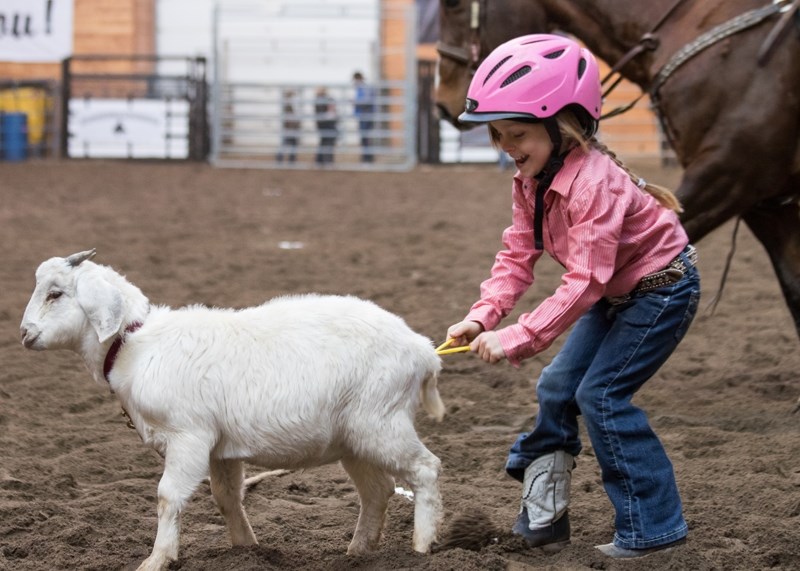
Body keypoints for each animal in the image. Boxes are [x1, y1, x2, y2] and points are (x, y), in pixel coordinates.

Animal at [20, 250, 444, 571]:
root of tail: (423, 349)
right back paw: (358, 552)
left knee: (425, 469)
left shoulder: (189, 437)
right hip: (355, 437)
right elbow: (225, 498)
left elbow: (167, 496)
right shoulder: (220, 448)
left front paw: (157, 559)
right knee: (378, 490)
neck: (134, 345)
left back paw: (422, 547)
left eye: (55, 293)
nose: (24, 334)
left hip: (380, 422)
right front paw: (247, 549)